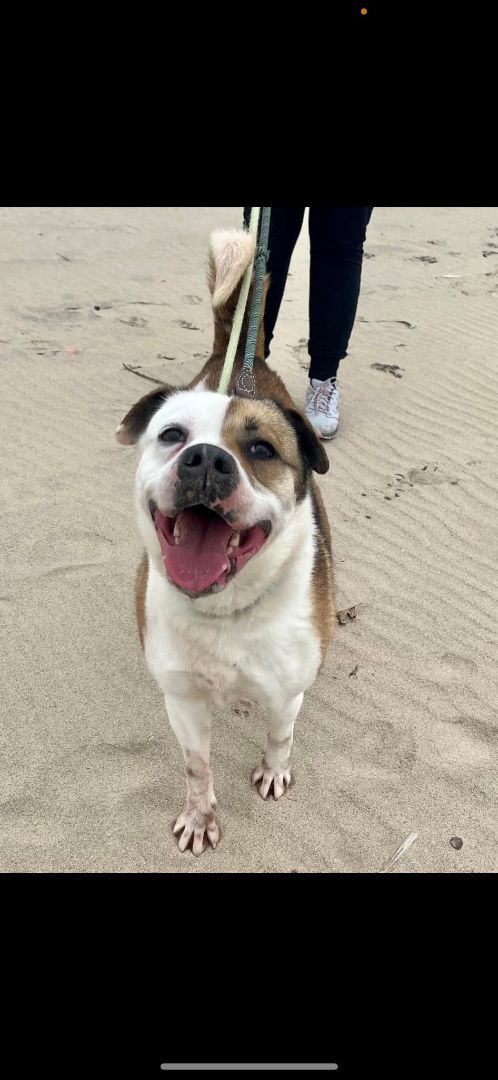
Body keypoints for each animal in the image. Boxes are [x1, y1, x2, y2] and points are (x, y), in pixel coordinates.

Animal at [115, 227, 334, 851]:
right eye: (171, 435)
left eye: (261, 449)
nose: (207, 459)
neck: (226, 611)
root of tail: (242, 361)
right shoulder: (184, 700)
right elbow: (196, 767)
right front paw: (200, 815)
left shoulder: (287, 692)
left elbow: (281, 736)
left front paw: (274, 770)